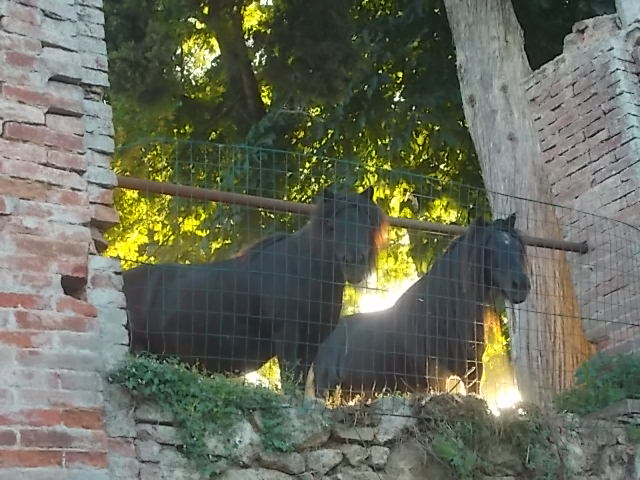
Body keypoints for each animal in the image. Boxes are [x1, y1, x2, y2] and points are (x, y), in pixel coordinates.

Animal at [122, 186, 387, 385]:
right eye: (331, 226)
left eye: (367, 224)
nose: (354, 261)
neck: (302, 273)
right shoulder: (287, 336)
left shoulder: (313, 341)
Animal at [312, 213, 530, 399]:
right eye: (490, 250)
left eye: (519, 249)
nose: (521, 285)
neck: (446, 313)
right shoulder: (435, 375)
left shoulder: (473, 372)